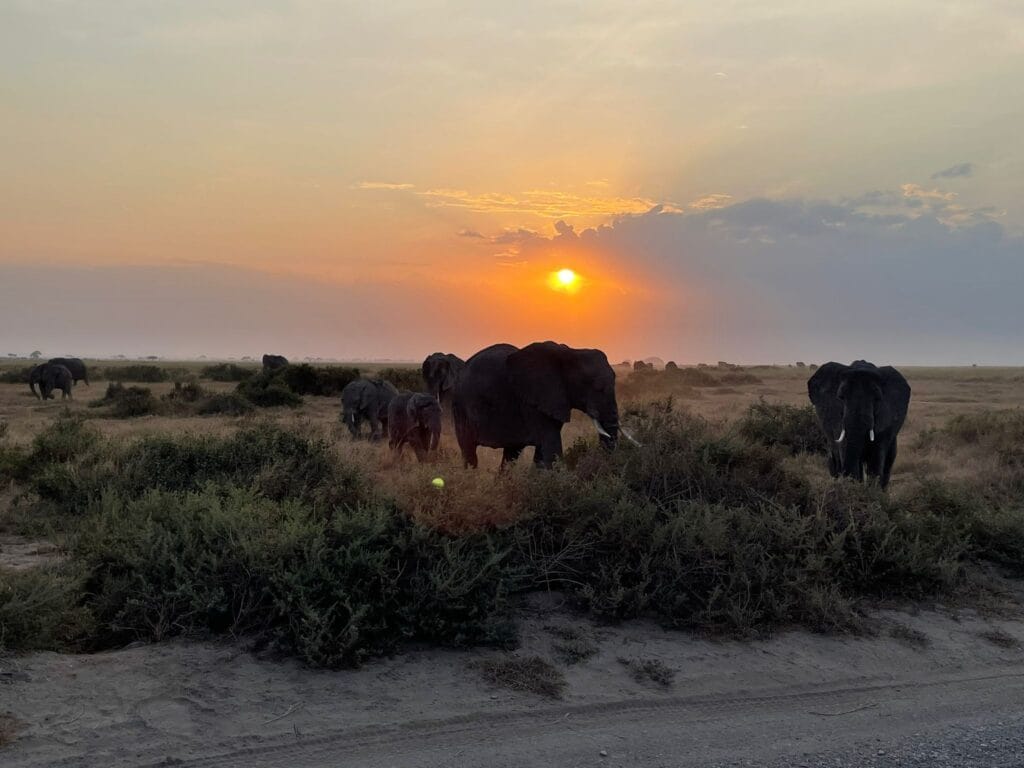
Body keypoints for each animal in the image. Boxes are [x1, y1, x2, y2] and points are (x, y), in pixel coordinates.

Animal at [453, 340, 635, 469]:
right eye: (597, 388)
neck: (570, 353)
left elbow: (542, 453)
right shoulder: (533, 401)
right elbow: (551, 447)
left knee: (511, 455)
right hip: (460, 406)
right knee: (469, 453)